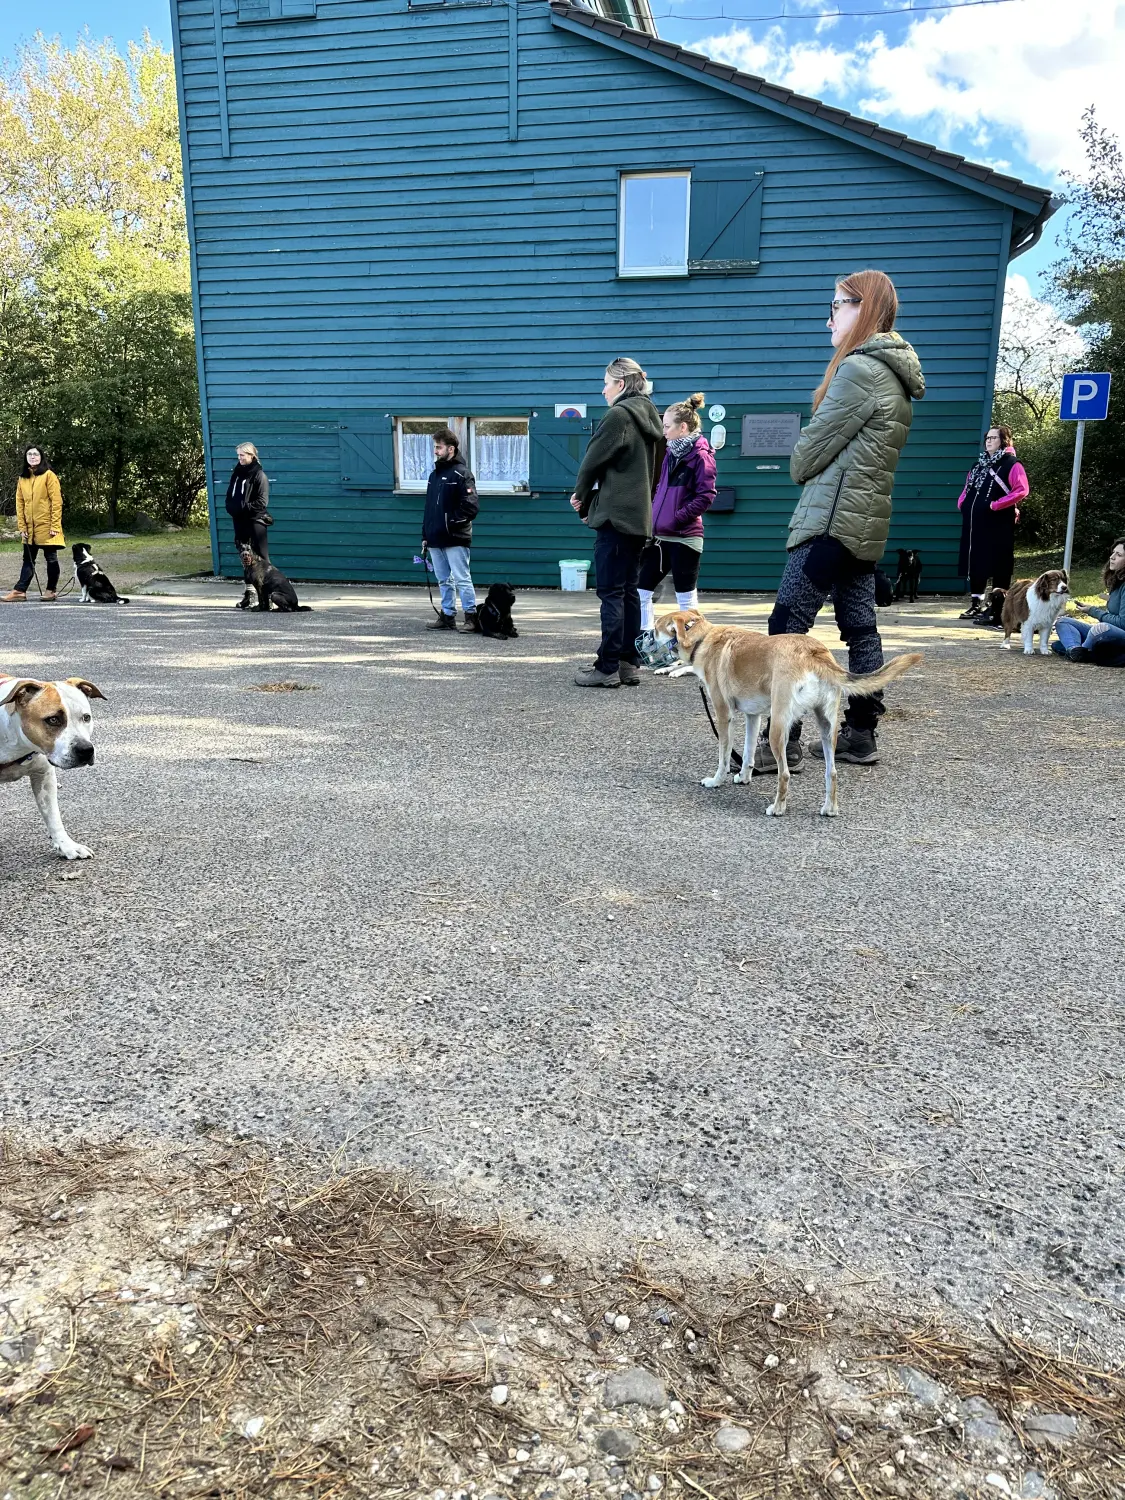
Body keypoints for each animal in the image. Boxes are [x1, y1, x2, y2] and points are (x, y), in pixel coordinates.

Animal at [1, 675, 105, 864]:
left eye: (86, 717)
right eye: (53, 719)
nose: (86, 750)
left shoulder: (44, 776)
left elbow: (53, 816)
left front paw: (67, 846)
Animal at [651, 609, 924, 822]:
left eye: (655, 628)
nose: (647, 635)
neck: (702, 637)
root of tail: (814, 651)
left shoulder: (723, 715)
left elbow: (724, 755)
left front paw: (717, 780)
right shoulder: (753, 716)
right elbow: (748, 753)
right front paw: (744, 776)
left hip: (778, 727)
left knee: (784, 774)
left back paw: (778, 808)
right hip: (827, 728)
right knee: (832, 772)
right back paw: (829, 808)